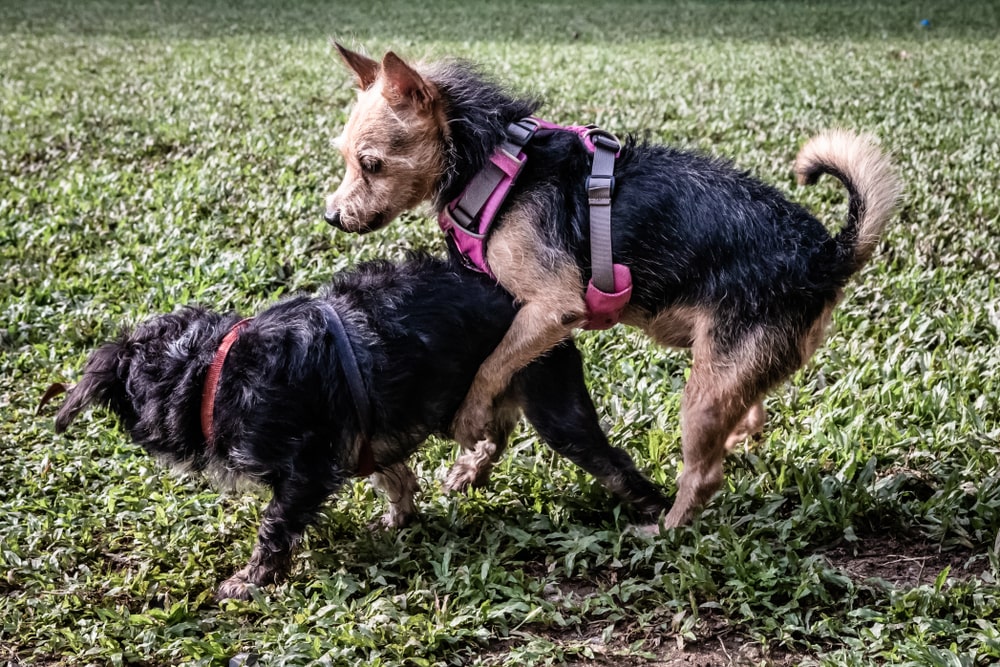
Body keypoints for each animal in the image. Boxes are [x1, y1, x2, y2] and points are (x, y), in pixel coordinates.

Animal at [50, 254, 668, 600]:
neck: (210, 373)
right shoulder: (369, 435)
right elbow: (393, 476)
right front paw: (399, 518)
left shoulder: (305, 467)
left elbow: (274, 525)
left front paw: (250, 581)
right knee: (493, 433)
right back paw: (468, 472)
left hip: (555, 404)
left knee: (613, 464)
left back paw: (658, 515)